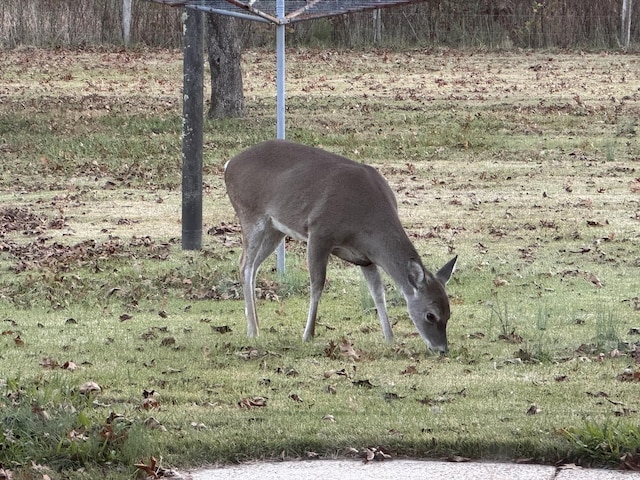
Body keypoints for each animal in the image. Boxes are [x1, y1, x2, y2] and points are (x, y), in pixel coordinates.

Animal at [222, 139, 458, 352]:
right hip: (250, 213)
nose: (442, 349)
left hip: (275, 228)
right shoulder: (320, 233)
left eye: (449, 313)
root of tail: (229, 164)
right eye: (430, 315)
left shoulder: (366, 257)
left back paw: (256, 325)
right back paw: (253, 330)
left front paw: (389, 337)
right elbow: (317, 286)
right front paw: (308, 335)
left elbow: (378, 293)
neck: (365, 221)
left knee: (252, 266)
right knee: (245, 264)